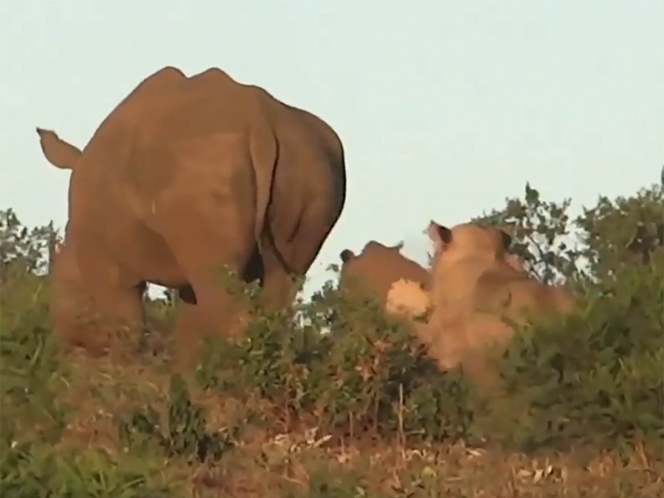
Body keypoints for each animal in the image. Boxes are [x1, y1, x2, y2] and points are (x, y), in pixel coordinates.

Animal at [37, 65, 348, 362]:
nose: (61, 335)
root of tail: (262, 123)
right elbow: (191, 330)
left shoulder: (108, 266)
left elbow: (125, 328)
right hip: (312, 164)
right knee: (280, 286)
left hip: (203, 168)